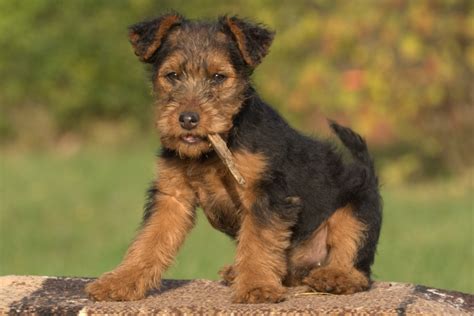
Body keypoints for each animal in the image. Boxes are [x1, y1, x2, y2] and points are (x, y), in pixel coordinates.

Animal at [85, 12, 382, 304]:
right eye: (172, 75)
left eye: (218, 76)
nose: (188, 119)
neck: (213, 150)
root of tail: (368, 172)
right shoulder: (172, 195)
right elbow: (149, 240)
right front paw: (120, 281)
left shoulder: (265, 195)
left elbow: (258, 243)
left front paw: (256, 287)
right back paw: (238, 272)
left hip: (356, 215)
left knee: (356, 265)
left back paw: (335, 277)